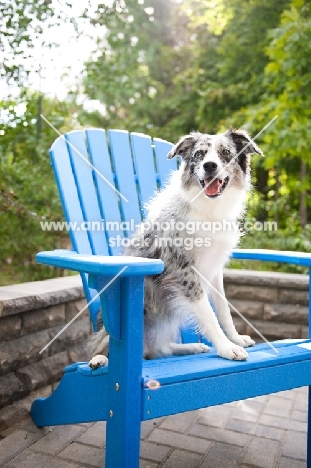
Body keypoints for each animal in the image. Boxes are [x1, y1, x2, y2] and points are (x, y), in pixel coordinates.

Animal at [89, 129, 264, 370]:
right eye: (199, 154)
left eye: (226, 153)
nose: (210, 166)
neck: (209, 209)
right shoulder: (184, 271)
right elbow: (208, 315)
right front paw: (227, 348)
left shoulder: (215, 269)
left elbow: (224, 310)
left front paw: (236, 339)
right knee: (106, 342)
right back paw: (100, 358)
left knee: (158, 349)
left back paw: (191, 347)